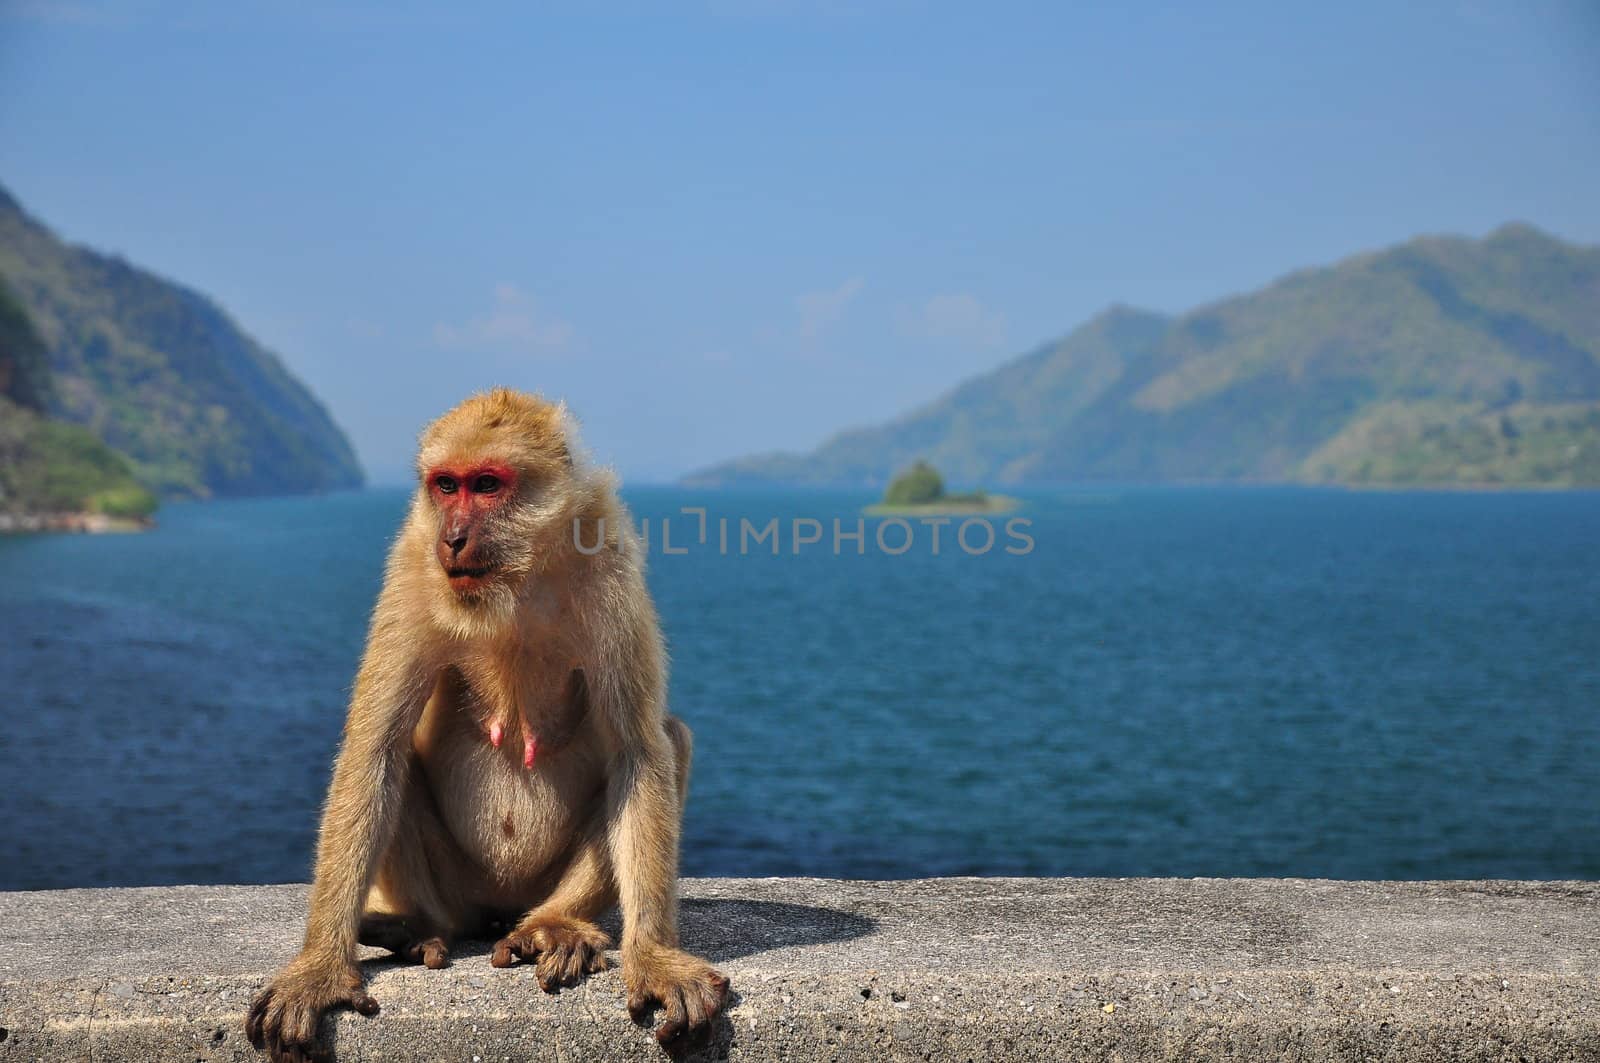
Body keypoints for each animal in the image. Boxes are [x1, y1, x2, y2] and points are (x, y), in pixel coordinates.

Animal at [244, 390, 732, 1063]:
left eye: (487, 485)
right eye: (446, 485)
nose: (453, 537)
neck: (517, 581)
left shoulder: (607, 559)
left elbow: (637, 752)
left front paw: (654, 957)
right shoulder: (412, 564)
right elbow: (375, 749)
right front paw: (319, 967)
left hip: (531, 890)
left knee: (669, 740)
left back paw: (555, 928)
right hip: (454, 888)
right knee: (398, 771)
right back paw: (415, 929)